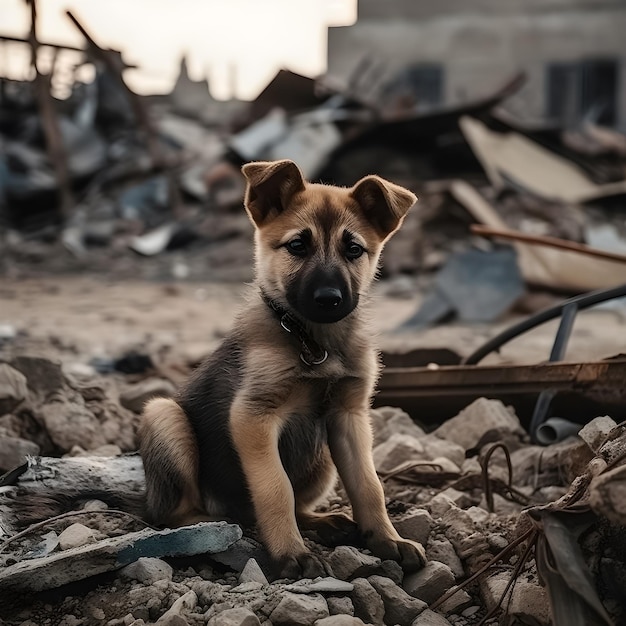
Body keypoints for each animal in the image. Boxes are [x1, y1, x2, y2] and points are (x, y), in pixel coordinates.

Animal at [139, 158, 426, 576]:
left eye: (354, 250)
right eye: (297, 246)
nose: (329, 298)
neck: (314, 341)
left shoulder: (350, 417)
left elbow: (369, 486)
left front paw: (387, 539)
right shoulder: (253, 416)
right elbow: (276, 489)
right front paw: (291, 553)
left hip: (323, 459)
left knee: (299, 503)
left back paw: (322, 522)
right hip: (164, 416)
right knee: (172, 515)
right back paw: (223, 523)